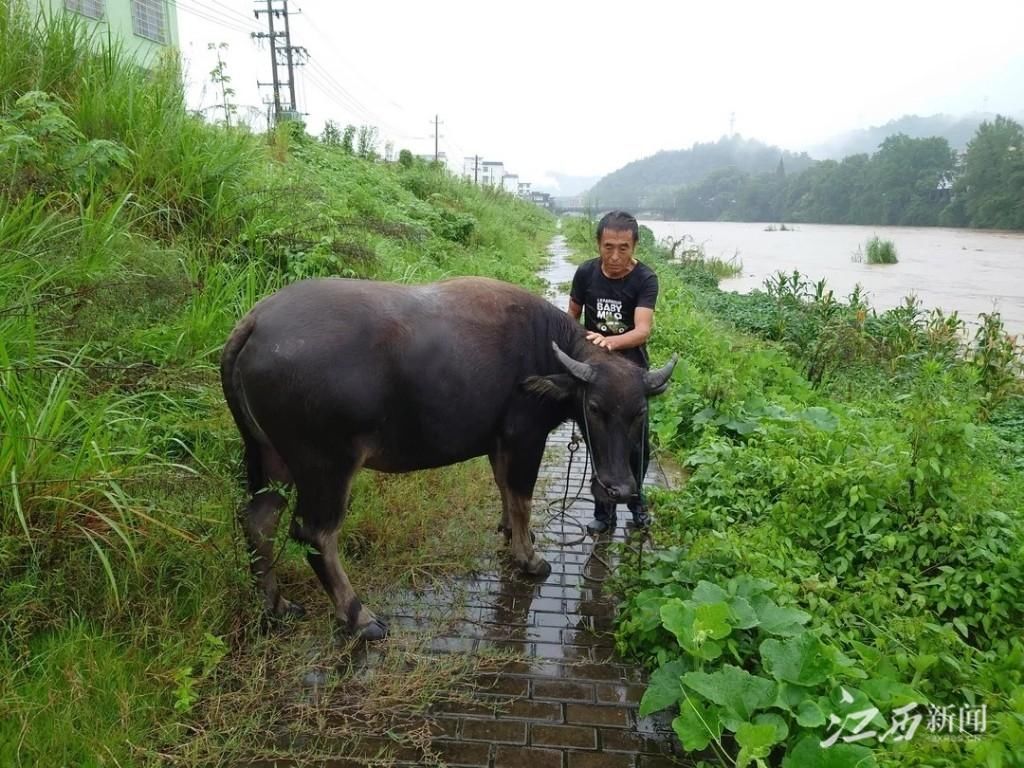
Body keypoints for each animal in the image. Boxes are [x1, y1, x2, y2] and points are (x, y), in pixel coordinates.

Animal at [220, 278, 675, 643]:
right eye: (594, 408)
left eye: (639, 413)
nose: (619, 488)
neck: (545, 355)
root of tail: (256, 321)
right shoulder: (525, 438)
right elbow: (522, 496)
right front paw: (529, 558)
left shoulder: (498, 442)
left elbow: (504, 489)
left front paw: (510, 532)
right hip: (326, 467)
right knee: (315, 533)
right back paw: (359, 617)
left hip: (274, 459)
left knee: (259, 519)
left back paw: (277, 605)